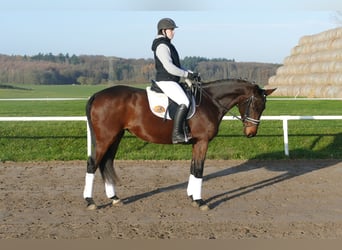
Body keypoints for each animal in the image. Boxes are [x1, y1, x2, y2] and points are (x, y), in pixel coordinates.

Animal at [83, 78, 276, 211]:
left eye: (264, 107)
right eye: (255, 104)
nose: (251, 133)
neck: (210, 101)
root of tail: (97, 95)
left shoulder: (196, 143)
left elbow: (193, 168)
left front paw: (191, 196)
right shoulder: (202, 142)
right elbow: (199, 169)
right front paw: (199, 201)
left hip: (115, 137)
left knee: (106, 163)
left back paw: (114, 198)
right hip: (105, 138)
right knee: (93, 164)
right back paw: (90, 201)